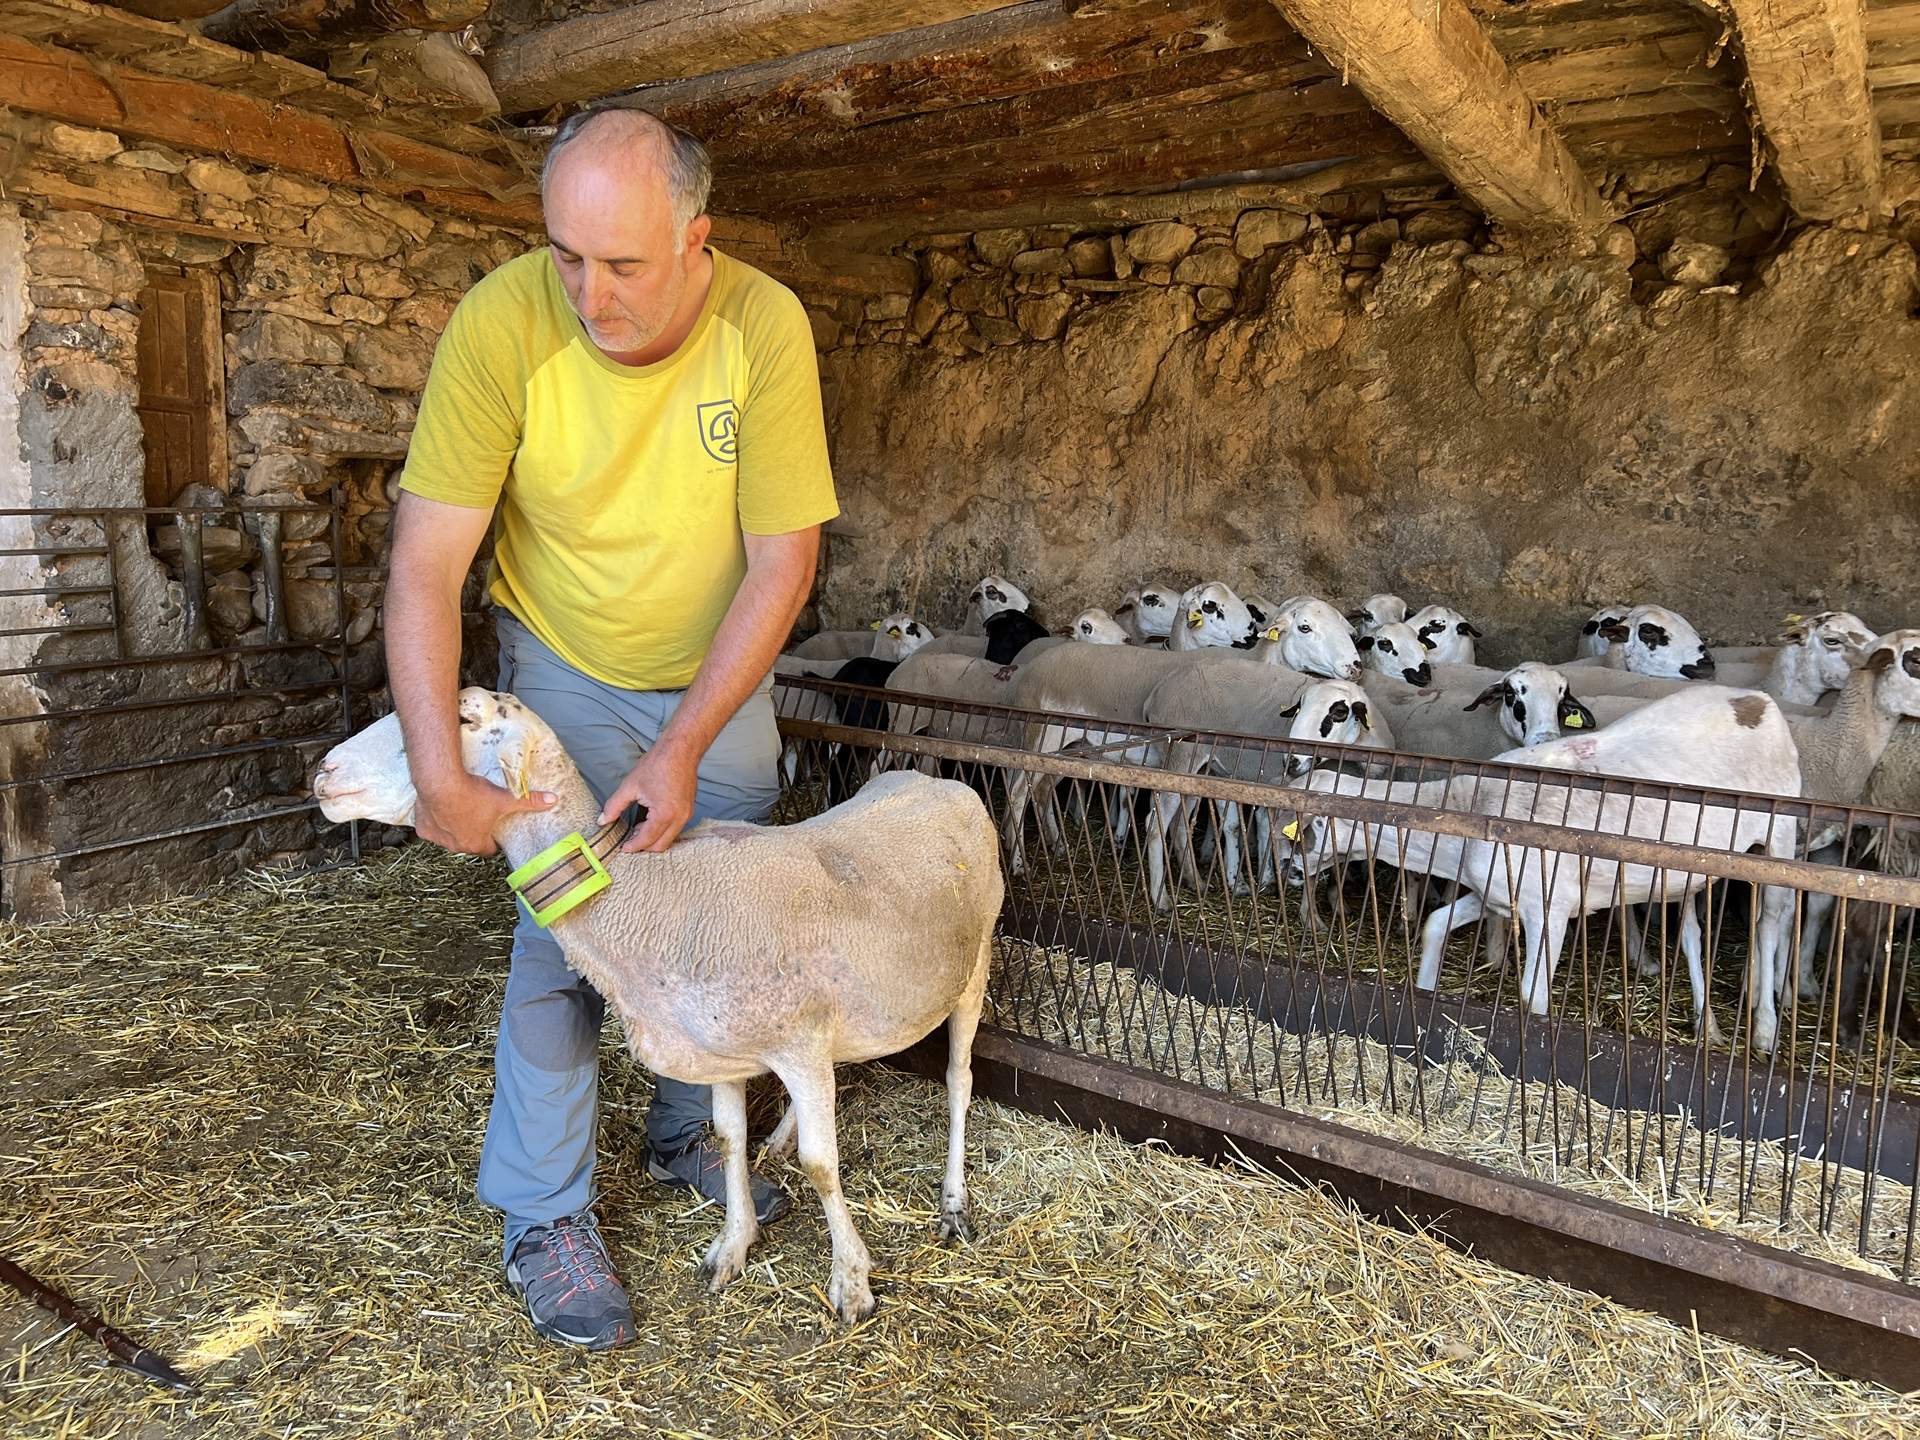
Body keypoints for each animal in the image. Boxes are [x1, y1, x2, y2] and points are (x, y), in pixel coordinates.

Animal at [311, 695, 1006, 1328]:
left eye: (463, 719)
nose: (323, 772)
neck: (640, 895)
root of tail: (939, 779)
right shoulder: (724, 1051)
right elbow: (728, 1138)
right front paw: (733, 1245)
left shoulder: (800, 1045)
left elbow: (822, 1165)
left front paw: (852, 1282)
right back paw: (783, 1139)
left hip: (975, 964)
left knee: (959, 1078)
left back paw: (953, 1202)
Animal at [1274, 687, 1797, 1052]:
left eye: (1306, 826)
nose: (1287, 869)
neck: (1471, 809)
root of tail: (1759, 701)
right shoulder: (1494, 893)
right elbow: (1436, 925)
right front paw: (1423, 993)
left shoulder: (1549, 909)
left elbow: (1532, 998)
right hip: (1691, 871)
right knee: (1692, 932)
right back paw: (1708, 1024)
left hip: (1780, 838)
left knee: (1770, 922)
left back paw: (1765, 1027)